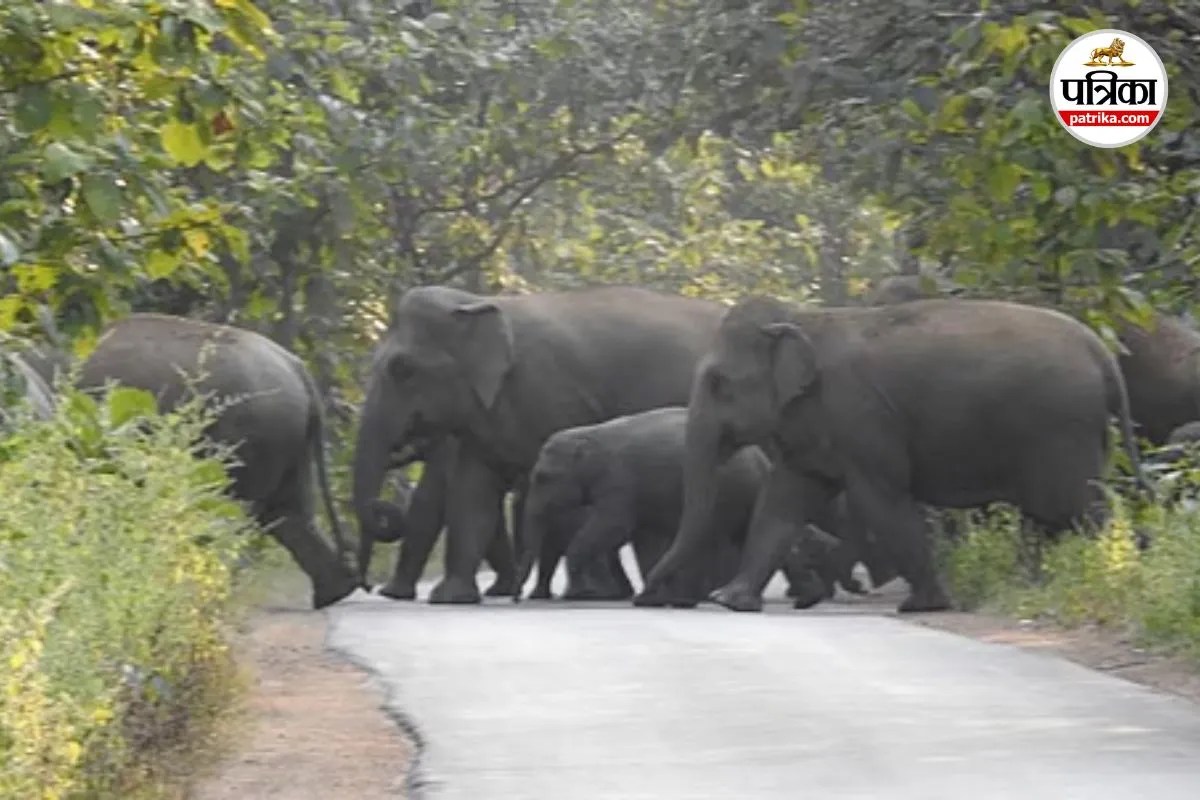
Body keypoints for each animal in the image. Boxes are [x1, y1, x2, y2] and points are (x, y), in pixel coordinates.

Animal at [77, 313, 359, 610]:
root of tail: (299, 370)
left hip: (254, 437)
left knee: (240, 510)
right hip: (291, 442)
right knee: (289, 513)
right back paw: (332, 594)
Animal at [352, 284, 726, 604]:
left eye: (403, 369)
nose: (367, 586)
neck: (478, 302)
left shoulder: (558, 398)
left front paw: (589, 593)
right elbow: (471, 494)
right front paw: (451, 598)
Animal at [644, 296, 1147, 614]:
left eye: (718, 383)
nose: (647, 595)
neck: (804, 319)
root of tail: (1101, 351)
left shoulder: (863, 417)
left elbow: (882, 501)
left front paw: (924, 605)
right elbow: (781, 503)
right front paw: (732, 601)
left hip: (1061, 431)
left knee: (1078, 508)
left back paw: (1110, 581)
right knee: (1049, 516)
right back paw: (1038, 586)